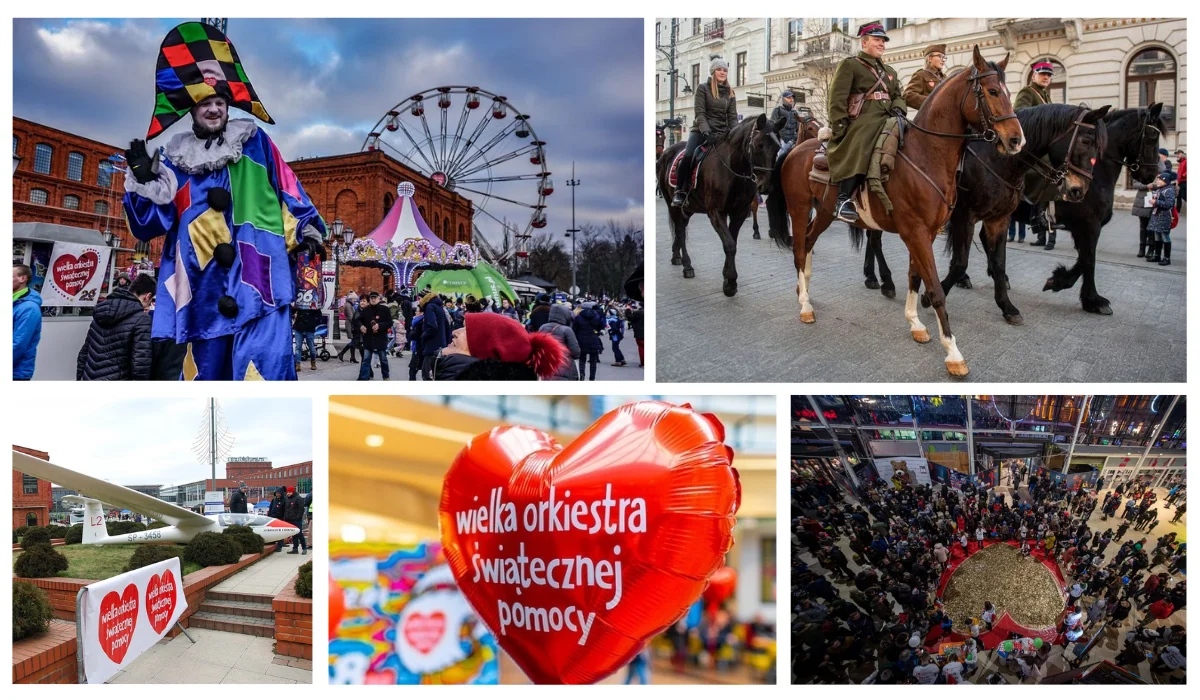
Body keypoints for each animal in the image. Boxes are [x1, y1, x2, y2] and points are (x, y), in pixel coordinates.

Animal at [657, 113, 787, 294]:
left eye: (777, 147)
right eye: (759, 145)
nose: (766, 186)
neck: (732, 168)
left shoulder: (739, 212)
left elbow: (732, 242)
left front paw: (727, 276)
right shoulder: (716, 212)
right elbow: (730, 245)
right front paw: (730, 282)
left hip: (688, 208)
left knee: (680, 228)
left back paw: (676, 256)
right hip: (672, 204)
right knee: (681, 231)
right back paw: (687, 266)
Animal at [772, 46, 1017, 377]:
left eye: (1008, 91)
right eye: (992, 91)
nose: (1016, 139)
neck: (925, 154)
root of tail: (796, 150)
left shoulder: (925, 233)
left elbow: (915, 277)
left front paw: (915, 324)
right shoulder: (916, 232)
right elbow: (935, 288)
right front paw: (953, 352)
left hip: (822, 212)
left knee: (809, 243)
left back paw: (805, 292)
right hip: (798, 210)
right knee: (799, 249)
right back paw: (805, 306)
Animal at [1022, 102, 1161, 314]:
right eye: (1152, 137)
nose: (1152, 175)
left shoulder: (1083, 228)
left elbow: (1084, 258)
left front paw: (1058, 281)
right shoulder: (1089, 226)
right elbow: (1089, 260)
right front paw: (1094, 300)